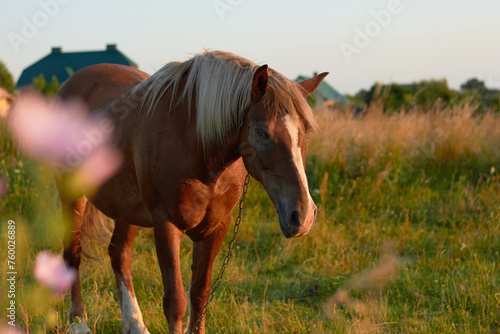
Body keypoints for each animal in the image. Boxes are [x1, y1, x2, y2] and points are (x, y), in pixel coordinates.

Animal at [54, 50, 328, 334]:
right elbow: (176, 302)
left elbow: (200, 293)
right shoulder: (166, 224)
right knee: (73, 254)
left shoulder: (216, 228)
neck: (196, 145)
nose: (303, 216)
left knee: (119, 254)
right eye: (262, 132)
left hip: (127, 207)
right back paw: (78, 323)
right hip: (71, 194)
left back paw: (134, 323)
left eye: (306, 132)